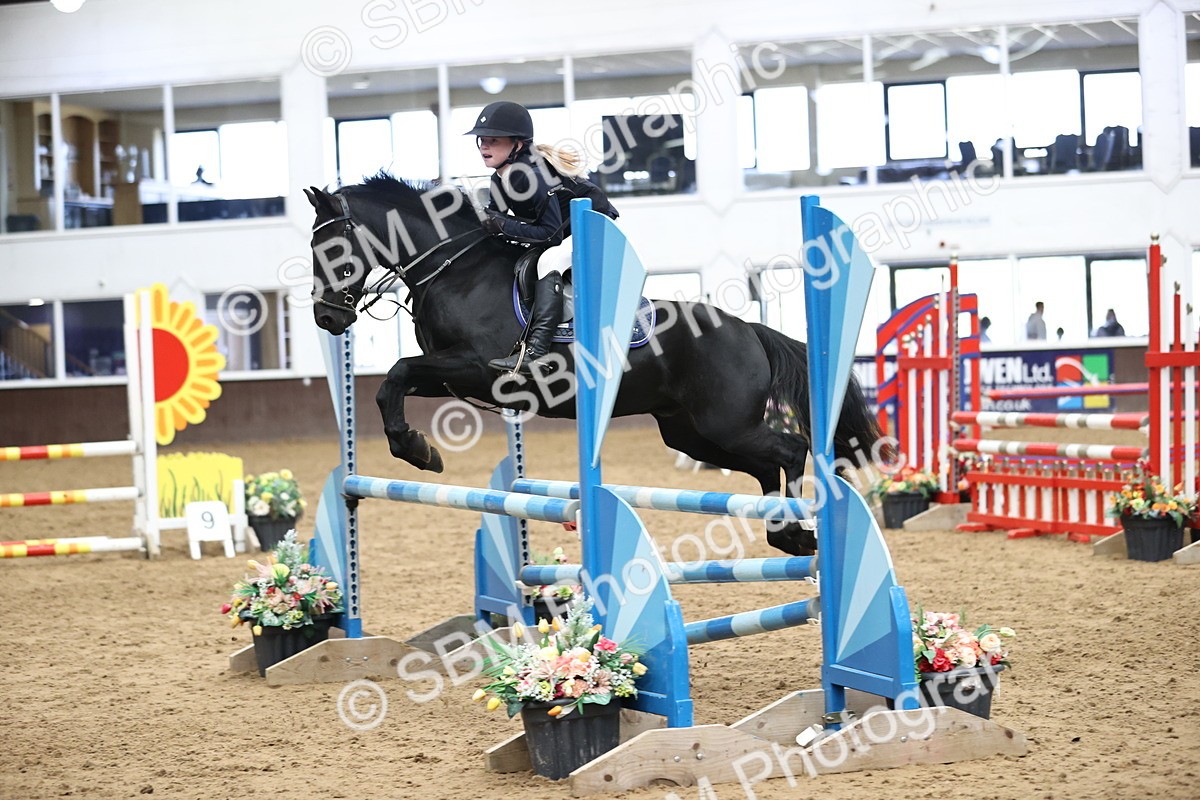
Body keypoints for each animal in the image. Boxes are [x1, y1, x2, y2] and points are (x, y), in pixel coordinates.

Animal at [305, 174, 887, 556]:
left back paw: (795, 530)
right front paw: (418, 448)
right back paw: (786, 533)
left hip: (726, 422)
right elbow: (391, 384)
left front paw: (417, 451)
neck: (455, 269)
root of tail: (747, 328)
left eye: (331, 248)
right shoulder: (451, 374)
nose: (327, 317)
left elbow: (399, 371)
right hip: (692, 432)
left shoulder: (479, 368)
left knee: (789, 450)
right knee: (768, 465)